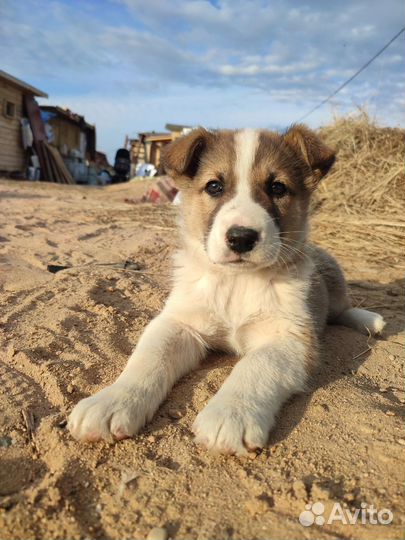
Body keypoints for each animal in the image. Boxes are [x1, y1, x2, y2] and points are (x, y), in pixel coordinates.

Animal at [68, 124, 384, 454]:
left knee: (342, 308)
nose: (241, 237)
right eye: (214, 187)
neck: (236, 282)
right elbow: (148, 359)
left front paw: (230, 414)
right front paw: (113, 400)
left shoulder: (290, 338)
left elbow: (256, 366)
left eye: (277, 188)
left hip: (332, 277)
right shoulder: (179, 324)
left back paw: (370, 320)